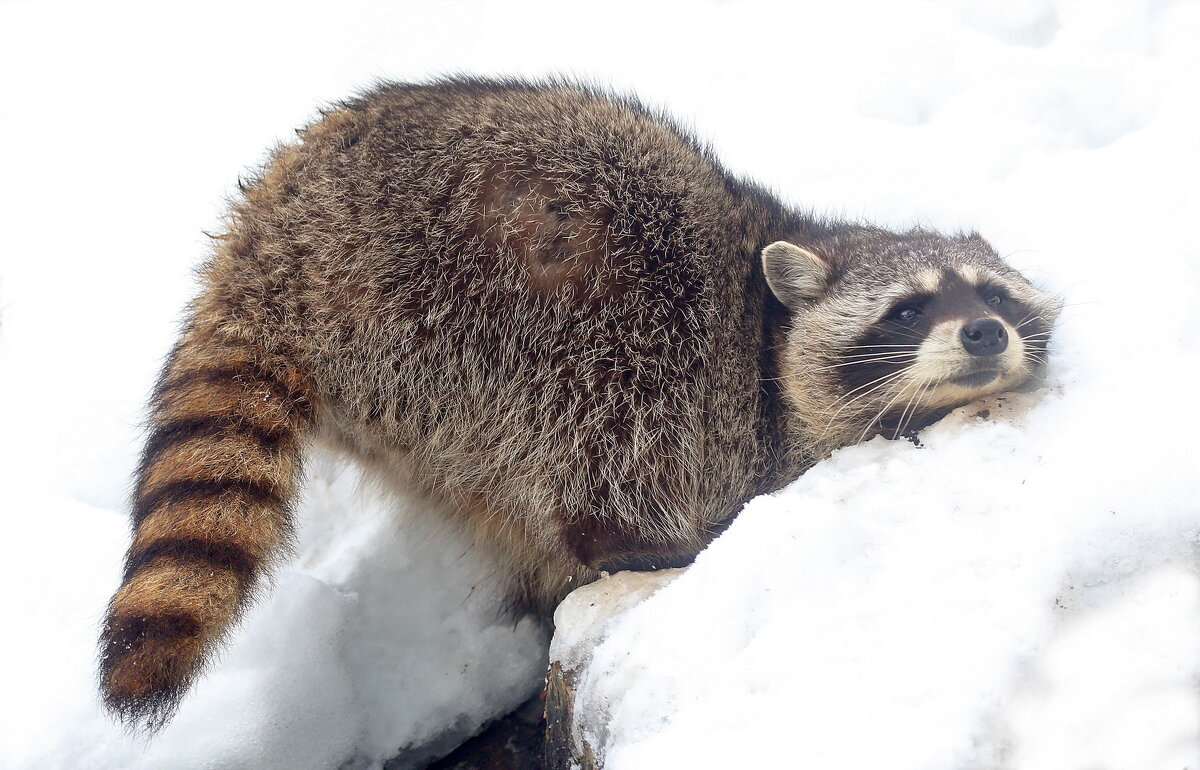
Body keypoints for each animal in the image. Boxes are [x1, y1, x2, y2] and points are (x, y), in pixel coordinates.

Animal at [96, 76, 1060, 724]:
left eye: (993, 295)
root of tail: (267, 244)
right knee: (606, 410)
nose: (984, 334)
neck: (771, 327)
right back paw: (638, 542)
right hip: (477, 297)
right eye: (909, 310)